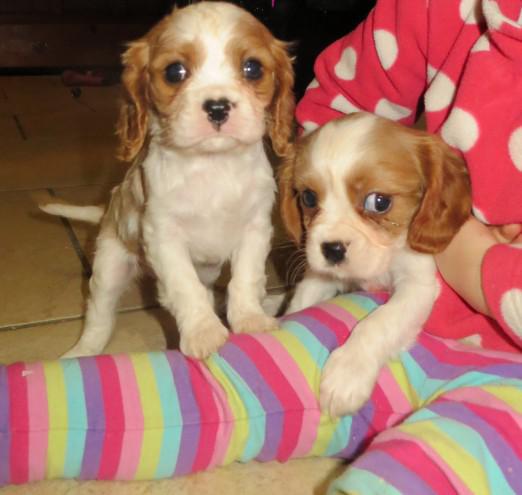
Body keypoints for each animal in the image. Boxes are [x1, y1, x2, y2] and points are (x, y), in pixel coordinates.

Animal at [40, 0, 292, 356]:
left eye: (252, 68)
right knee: (99, 316)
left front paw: (251, 320)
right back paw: (81, 353)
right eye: (175, 72)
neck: (212, 164)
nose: (217, 107)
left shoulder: (255, 228)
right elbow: (184, 285)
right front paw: (203, 333)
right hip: (110, 265)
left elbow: (245, 278)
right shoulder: (162, 234)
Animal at [278, 113, 470, 418]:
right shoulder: (321, 274)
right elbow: (302, 300)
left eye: (379, 202)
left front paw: (347, 372)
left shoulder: (418, 284)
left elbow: (379, 322)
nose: (332, 249)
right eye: (308, 198)